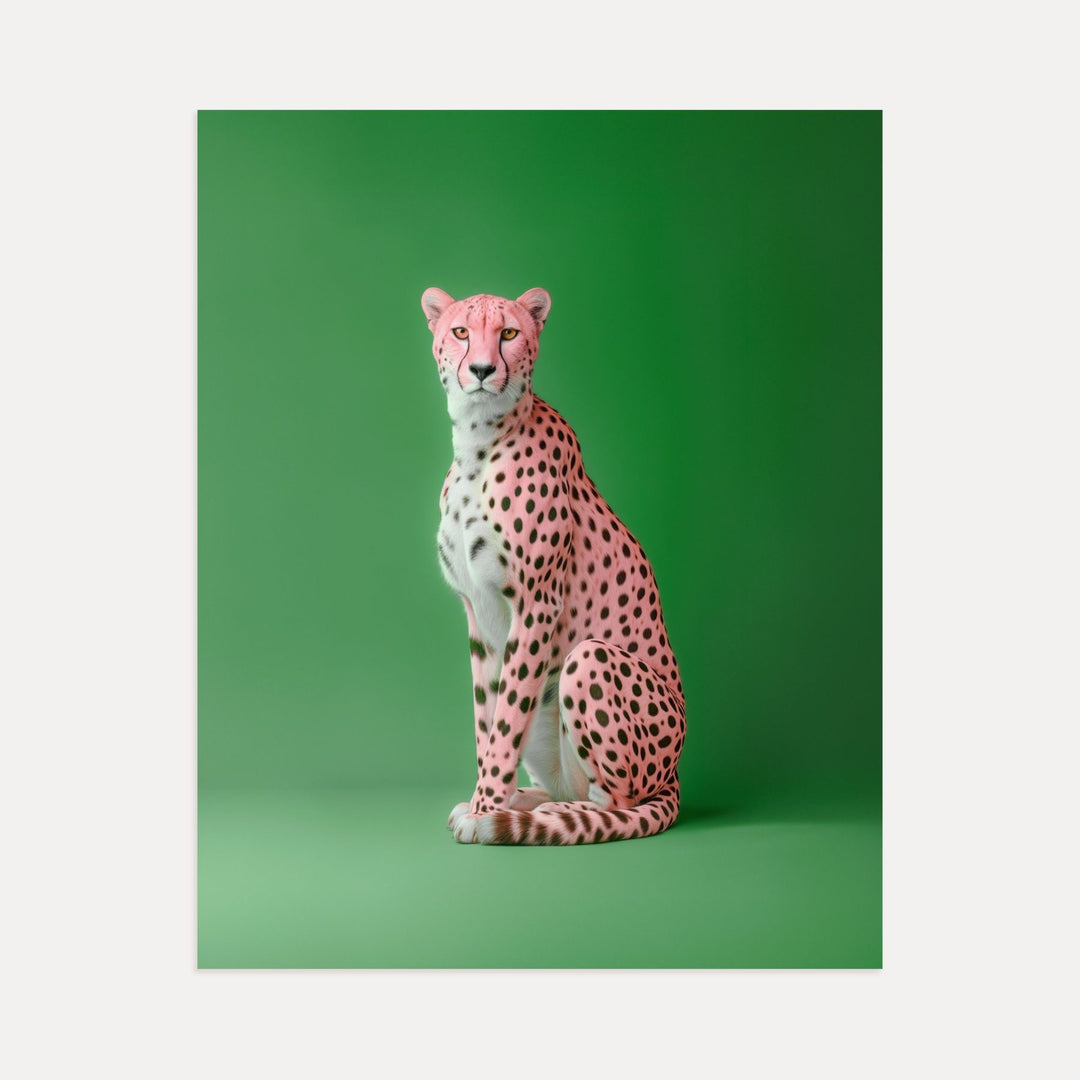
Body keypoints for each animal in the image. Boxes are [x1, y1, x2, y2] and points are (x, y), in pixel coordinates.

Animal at [422, 286, 686, 844]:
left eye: (508, 333)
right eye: (460, 332)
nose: (481, 369)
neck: (478, 441)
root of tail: (674, 775)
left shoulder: (536, 605)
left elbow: (505, 724)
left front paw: (485, 810)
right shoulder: (478, 615)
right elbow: (487, 719)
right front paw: (484, 800)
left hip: (588, 659)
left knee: (617, 804)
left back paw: (537, 816)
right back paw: (526, 802)